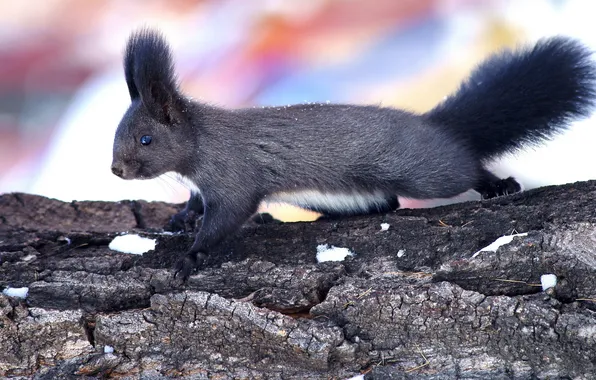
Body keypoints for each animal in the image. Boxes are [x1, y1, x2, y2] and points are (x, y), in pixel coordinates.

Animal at [110, 29, 596, 280]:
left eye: (146, 140)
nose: (116, 169)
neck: (201, 143)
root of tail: (436, 128)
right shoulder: (205, 184)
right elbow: (197, 203)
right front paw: (180, 218)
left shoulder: (234, 174)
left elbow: (228, 216)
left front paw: (191, 255)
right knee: (388, 202)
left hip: (424, 171)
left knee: (462, 168)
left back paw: (497, 184)